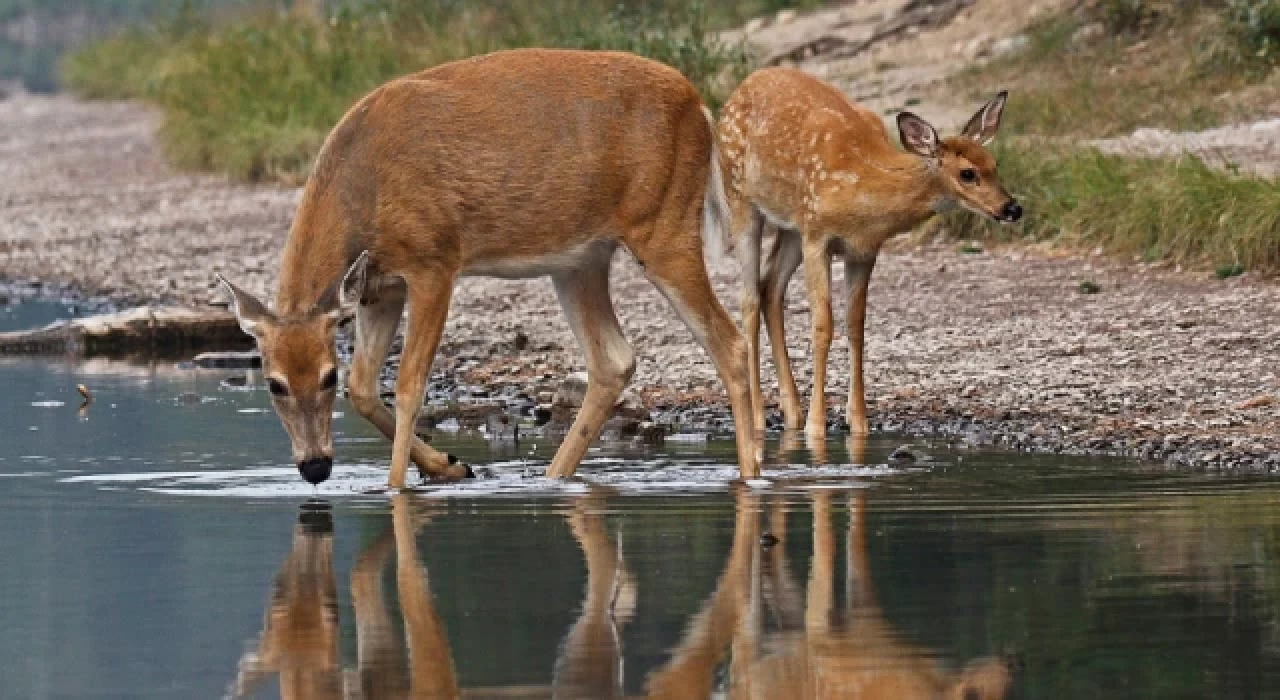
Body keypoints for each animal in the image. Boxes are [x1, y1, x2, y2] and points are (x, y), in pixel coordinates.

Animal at [217, 49, 757, 488]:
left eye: (327, 376)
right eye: (274, 383)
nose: (315, 467)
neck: (365, 188)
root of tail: (700, 106)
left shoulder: (434, 261)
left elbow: (409, 385)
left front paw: (397, 488)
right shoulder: (380, 287)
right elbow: (366, 388)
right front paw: (452, 465)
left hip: (664, 225)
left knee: (727, 341)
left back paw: (751, 473)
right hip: (581, 259)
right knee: (614, 359)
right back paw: (552, 476)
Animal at [721, 65, 1018, 437]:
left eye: (994, 164)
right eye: (967, 173)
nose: (1012, 208)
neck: (863, 188)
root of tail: (739, 89)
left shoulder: (863, 250)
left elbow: (856, 325)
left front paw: (859, 422)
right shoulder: (817, 236)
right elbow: (823, 325)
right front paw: (817, 426)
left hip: (790, 226)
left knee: (770, 288)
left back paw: (792, 413)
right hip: (740, 197)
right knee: (748, 298)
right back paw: (760, 417)